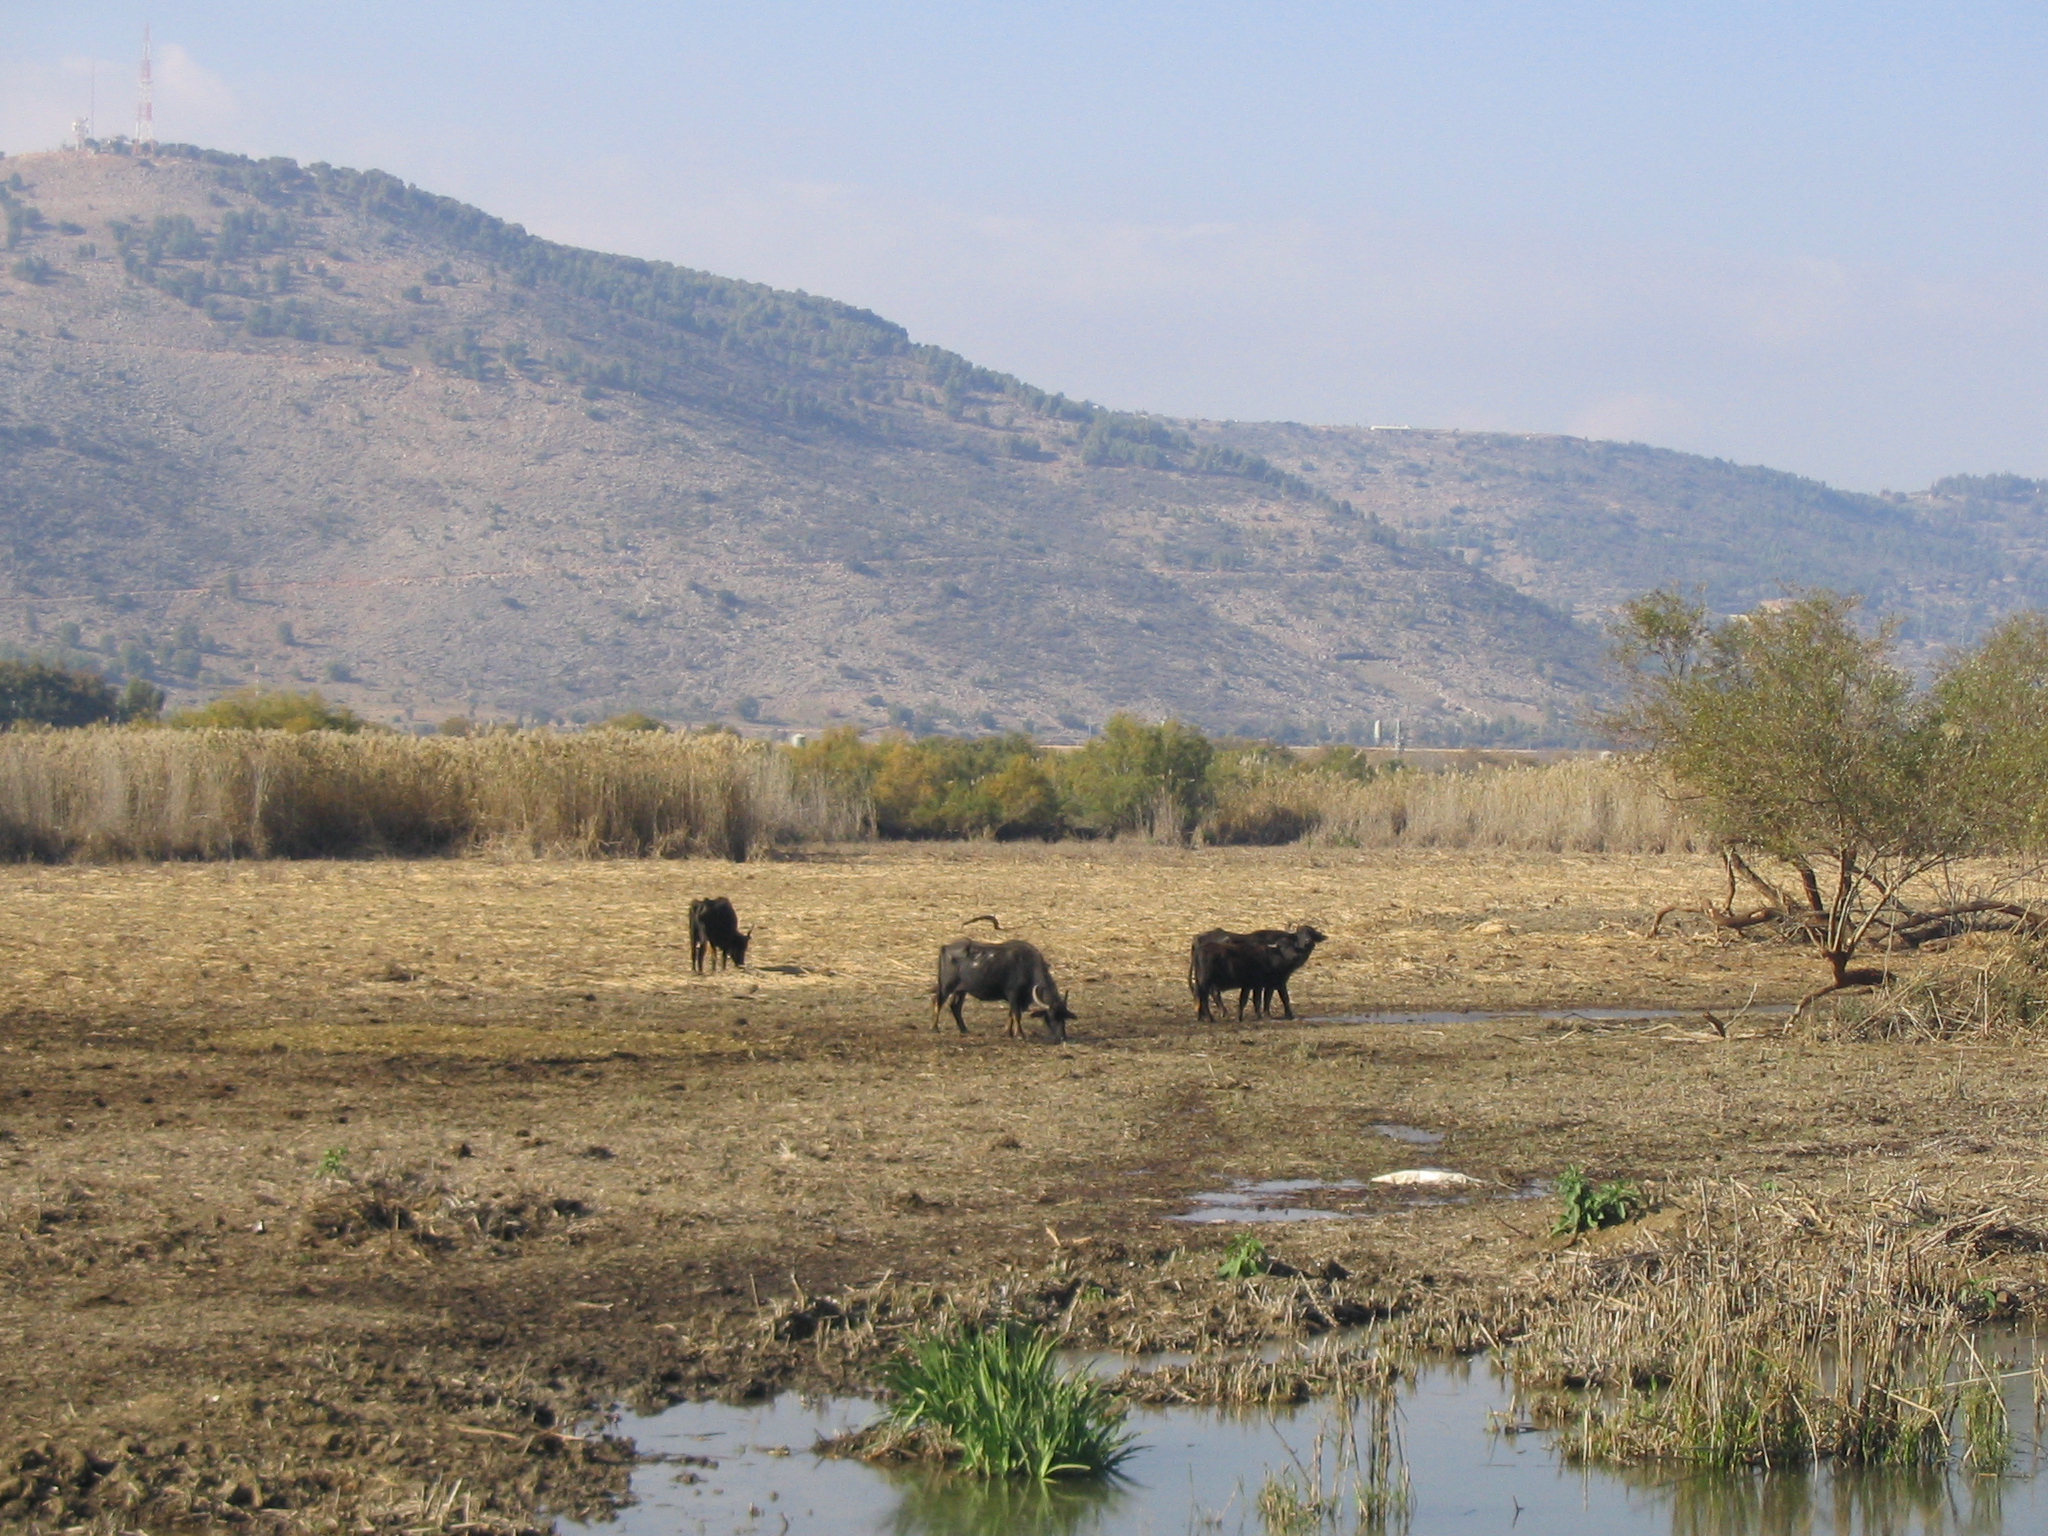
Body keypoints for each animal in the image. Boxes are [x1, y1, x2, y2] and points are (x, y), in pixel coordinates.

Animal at [937, 937, 1081, 1048]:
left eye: (1063, 1016)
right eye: (1050, 1016)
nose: (1062, 1037)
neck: (1027, 967)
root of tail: (946, 947)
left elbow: (1010, 1014)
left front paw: (1008, 1032)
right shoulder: (1013, 994)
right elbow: (1016, 1015)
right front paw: (1020, 1035)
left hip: (961, 990)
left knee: (955, 1006)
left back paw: (964, 1029)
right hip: (945, 986)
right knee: (937, 1002)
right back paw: (935, 1028)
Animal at [1187, 925, 1327, 1024]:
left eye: (1312, 933)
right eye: (1300, 933)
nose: (1307, 942)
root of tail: (1197, 939)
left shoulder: (1265, 984)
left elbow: (1264, 998)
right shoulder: (1276, 982)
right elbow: (1280, 997)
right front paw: (1284, 1015)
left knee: (1206, 993)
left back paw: (1206, 1015)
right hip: (1206, 980)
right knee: (1205, 994)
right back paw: (1213, 1016)